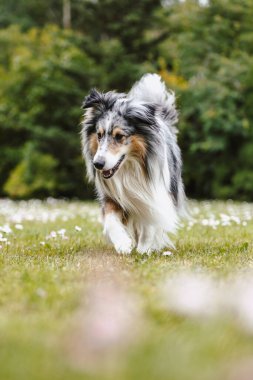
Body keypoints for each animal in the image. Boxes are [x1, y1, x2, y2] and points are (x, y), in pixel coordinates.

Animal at [81, 72, 186, 254]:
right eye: (99, 135)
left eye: (119, 136)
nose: (98, 164)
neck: (129, 168)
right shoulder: (111, 196)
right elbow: (110, 219)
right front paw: (123, 243)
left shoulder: (155, 194)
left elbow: (150, 221)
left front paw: (144, 248)